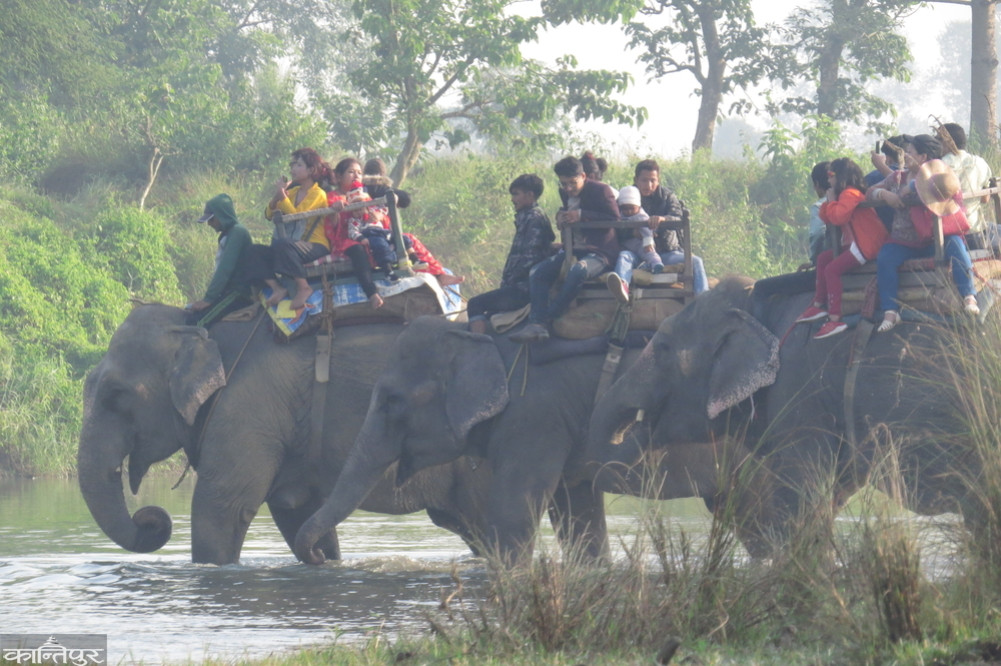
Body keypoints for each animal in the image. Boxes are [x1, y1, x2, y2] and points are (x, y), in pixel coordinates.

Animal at [78, 304, 492, 565]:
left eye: (116, 396)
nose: (151, 518)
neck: (199, 325)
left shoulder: (248, 405)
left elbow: (222, 507)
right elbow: (296, 513)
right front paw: (324, 560)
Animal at [292, 315, 742, 566]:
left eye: (391, 401)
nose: (318, 557)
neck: (476, 335)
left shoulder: (535, 415)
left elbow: (513, 513)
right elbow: (577, 515)